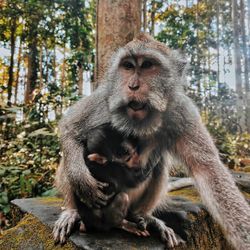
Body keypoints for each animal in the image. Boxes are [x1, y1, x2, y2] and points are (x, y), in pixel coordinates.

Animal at [53, 33, 249, 250]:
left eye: (147, 65)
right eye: (128, 66)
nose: (132, 86)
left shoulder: (183, 111)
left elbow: (207, 169)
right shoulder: (104, 99)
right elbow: (71, 129)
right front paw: (81, 179)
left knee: (159, 167)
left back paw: (143, 217)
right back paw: (73, 212)